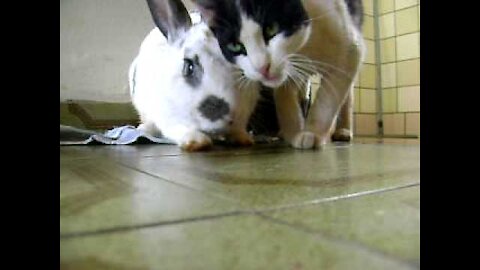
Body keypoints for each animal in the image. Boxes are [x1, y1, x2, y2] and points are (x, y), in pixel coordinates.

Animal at [129, 0, 260, 152]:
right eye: (188, 67)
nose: (229, 114)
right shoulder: (167, 117)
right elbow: (179, 128)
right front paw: (197, 142)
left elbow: (238, 129)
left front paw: (244, 139)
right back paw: (144, 129)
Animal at [189, 0, 366, 149]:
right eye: (235, 46)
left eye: (271, 29)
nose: (262, 68)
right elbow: (284, 97)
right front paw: (293, 132)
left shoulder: (349, 51)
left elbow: (328, 100)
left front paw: (312, 133)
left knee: (347, 96)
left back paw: (343, 131)